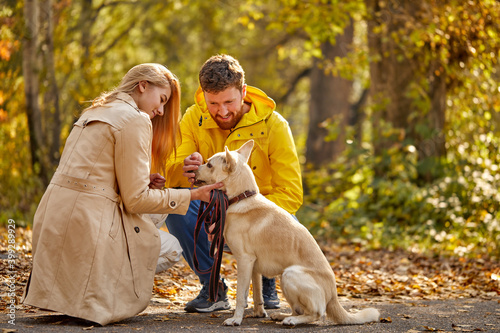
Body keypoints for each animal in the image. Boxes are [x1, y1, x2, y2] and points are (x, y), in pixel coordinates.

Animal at [194, 139, 378, 324]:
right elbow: (256, 293)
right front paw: (259, 313)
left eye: (209, 164)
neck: (242, 197)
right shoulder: (253, 266)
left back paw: (293, 321)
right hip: (284, 278)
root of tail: (334, 296)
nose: (192, 170)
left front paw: (236, 320)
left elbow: (241, 295)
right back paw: (282, 316)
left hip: (290, 274)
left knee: (317, 314)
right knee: (298, 310)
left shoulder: (244, 260)